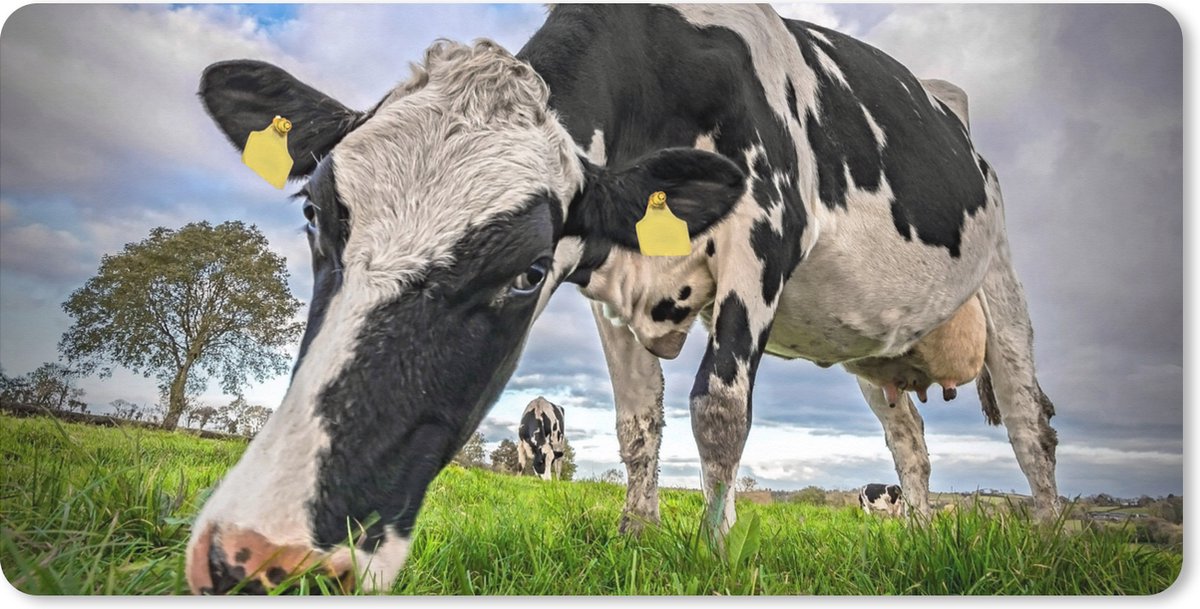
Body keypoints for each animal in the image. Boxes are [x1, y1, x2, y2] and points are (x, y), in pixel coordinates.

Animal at [186, 5, 1059, 594]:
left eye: (530, 268)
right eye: (313, 214)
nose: (262, 555)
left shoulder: (765, 234)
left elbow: (718, 409)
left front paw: (713, 553)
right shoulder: (610, 289)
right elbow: (638, 423)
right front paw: (637, 535)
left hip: (1002, 277)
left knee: (1028, 421)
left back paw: (1053, 537)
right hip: (876, 346)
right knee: (909, 439)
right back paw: (921, 536)